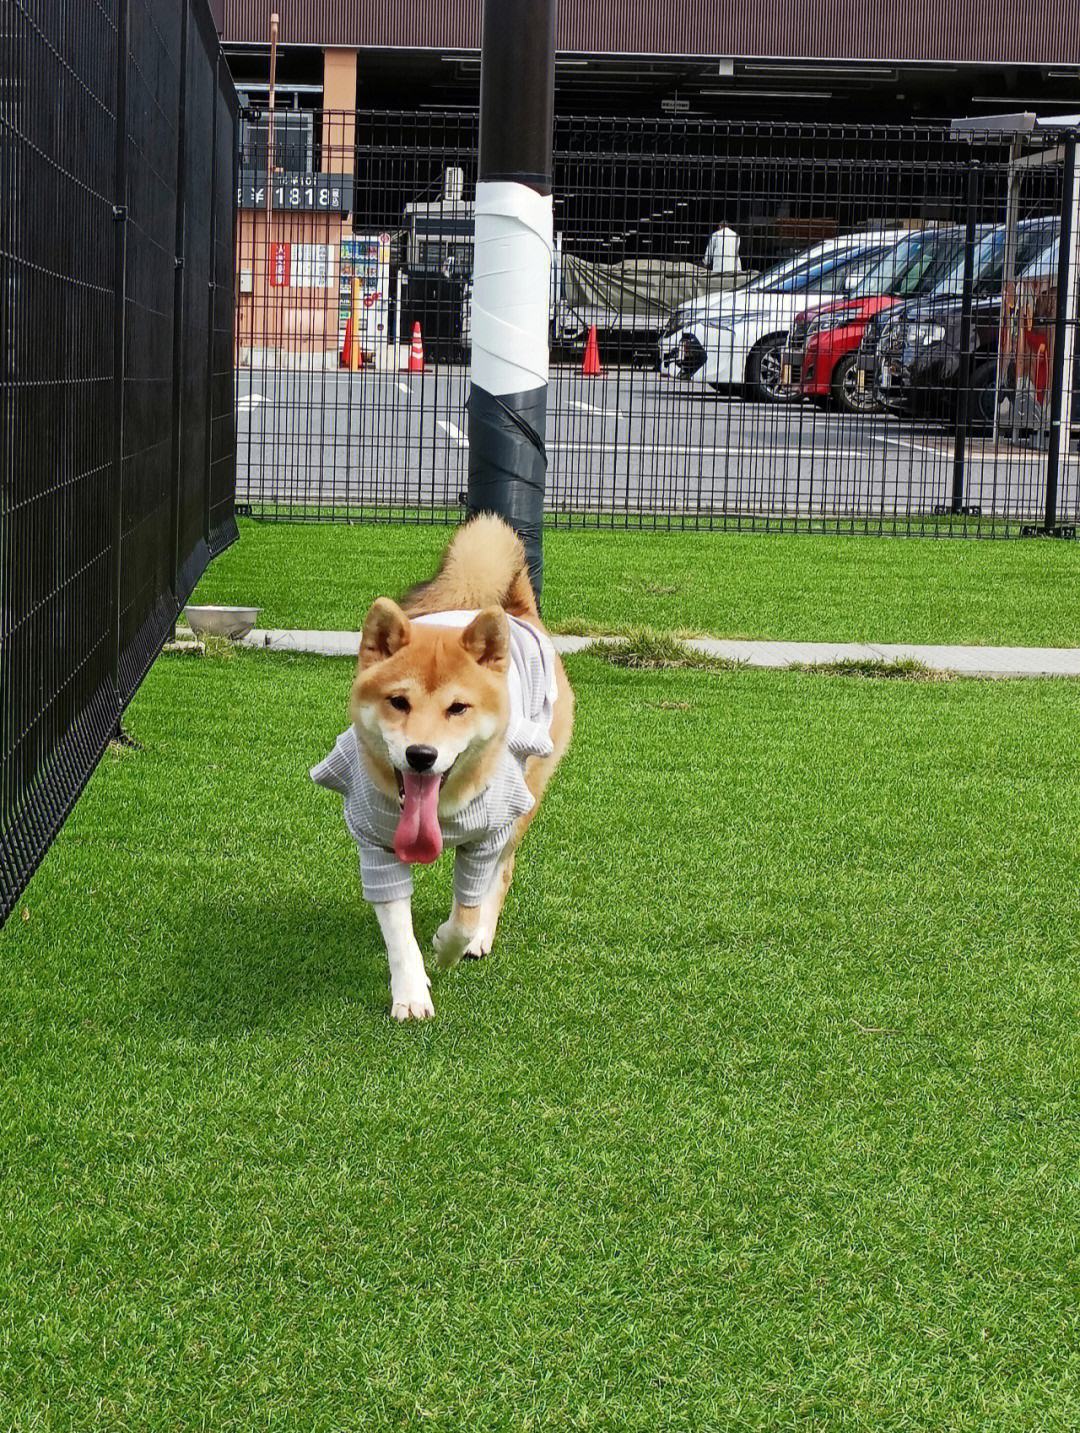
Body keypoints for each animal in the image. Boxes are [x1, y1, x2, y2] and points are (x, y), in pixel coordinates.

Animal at [310, 515, 572, 1020]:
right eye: (398, 702)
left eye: (458, 708)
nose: (421, 755)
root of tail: (519, 613)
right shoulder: (377, 847)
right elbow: (398, 933)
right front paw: (411, 992)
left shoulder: (485, 841)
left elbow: (467, 912)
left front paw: (450, 946)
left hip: (523, 803)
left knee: (501, 877)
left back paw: (482, 937)